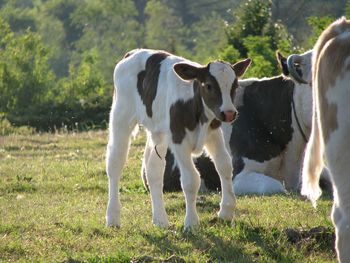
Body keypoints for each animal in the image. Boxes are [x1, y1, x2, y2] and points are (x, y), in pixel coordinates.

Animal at [106, 48, 252, 230]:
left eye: (235, 86)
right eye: (209, 85)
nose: (229, 113)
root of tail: (133, 52)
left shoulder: (213, 134)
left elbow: (225, 165)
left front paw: (226, 212)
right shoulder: (179, 140)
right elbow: (191, 179)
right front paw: (191, 223)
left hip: (158, 132)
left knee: (153, 169)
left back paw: (160, 220)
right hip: (121, 116)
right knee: (115, 164)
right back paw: (112, 217)